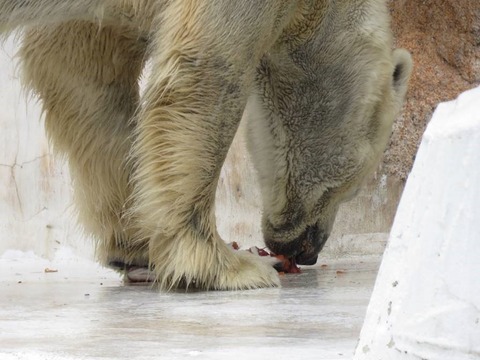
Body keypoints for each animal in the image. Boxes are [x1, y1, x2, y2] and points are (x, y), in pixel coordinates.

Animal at [0, 0, 412, 290]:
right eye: (350, 189)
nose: (307, 251)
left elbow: (82, 68)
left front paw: (138, 248)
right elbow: (204, 74)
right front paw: (228, 266)